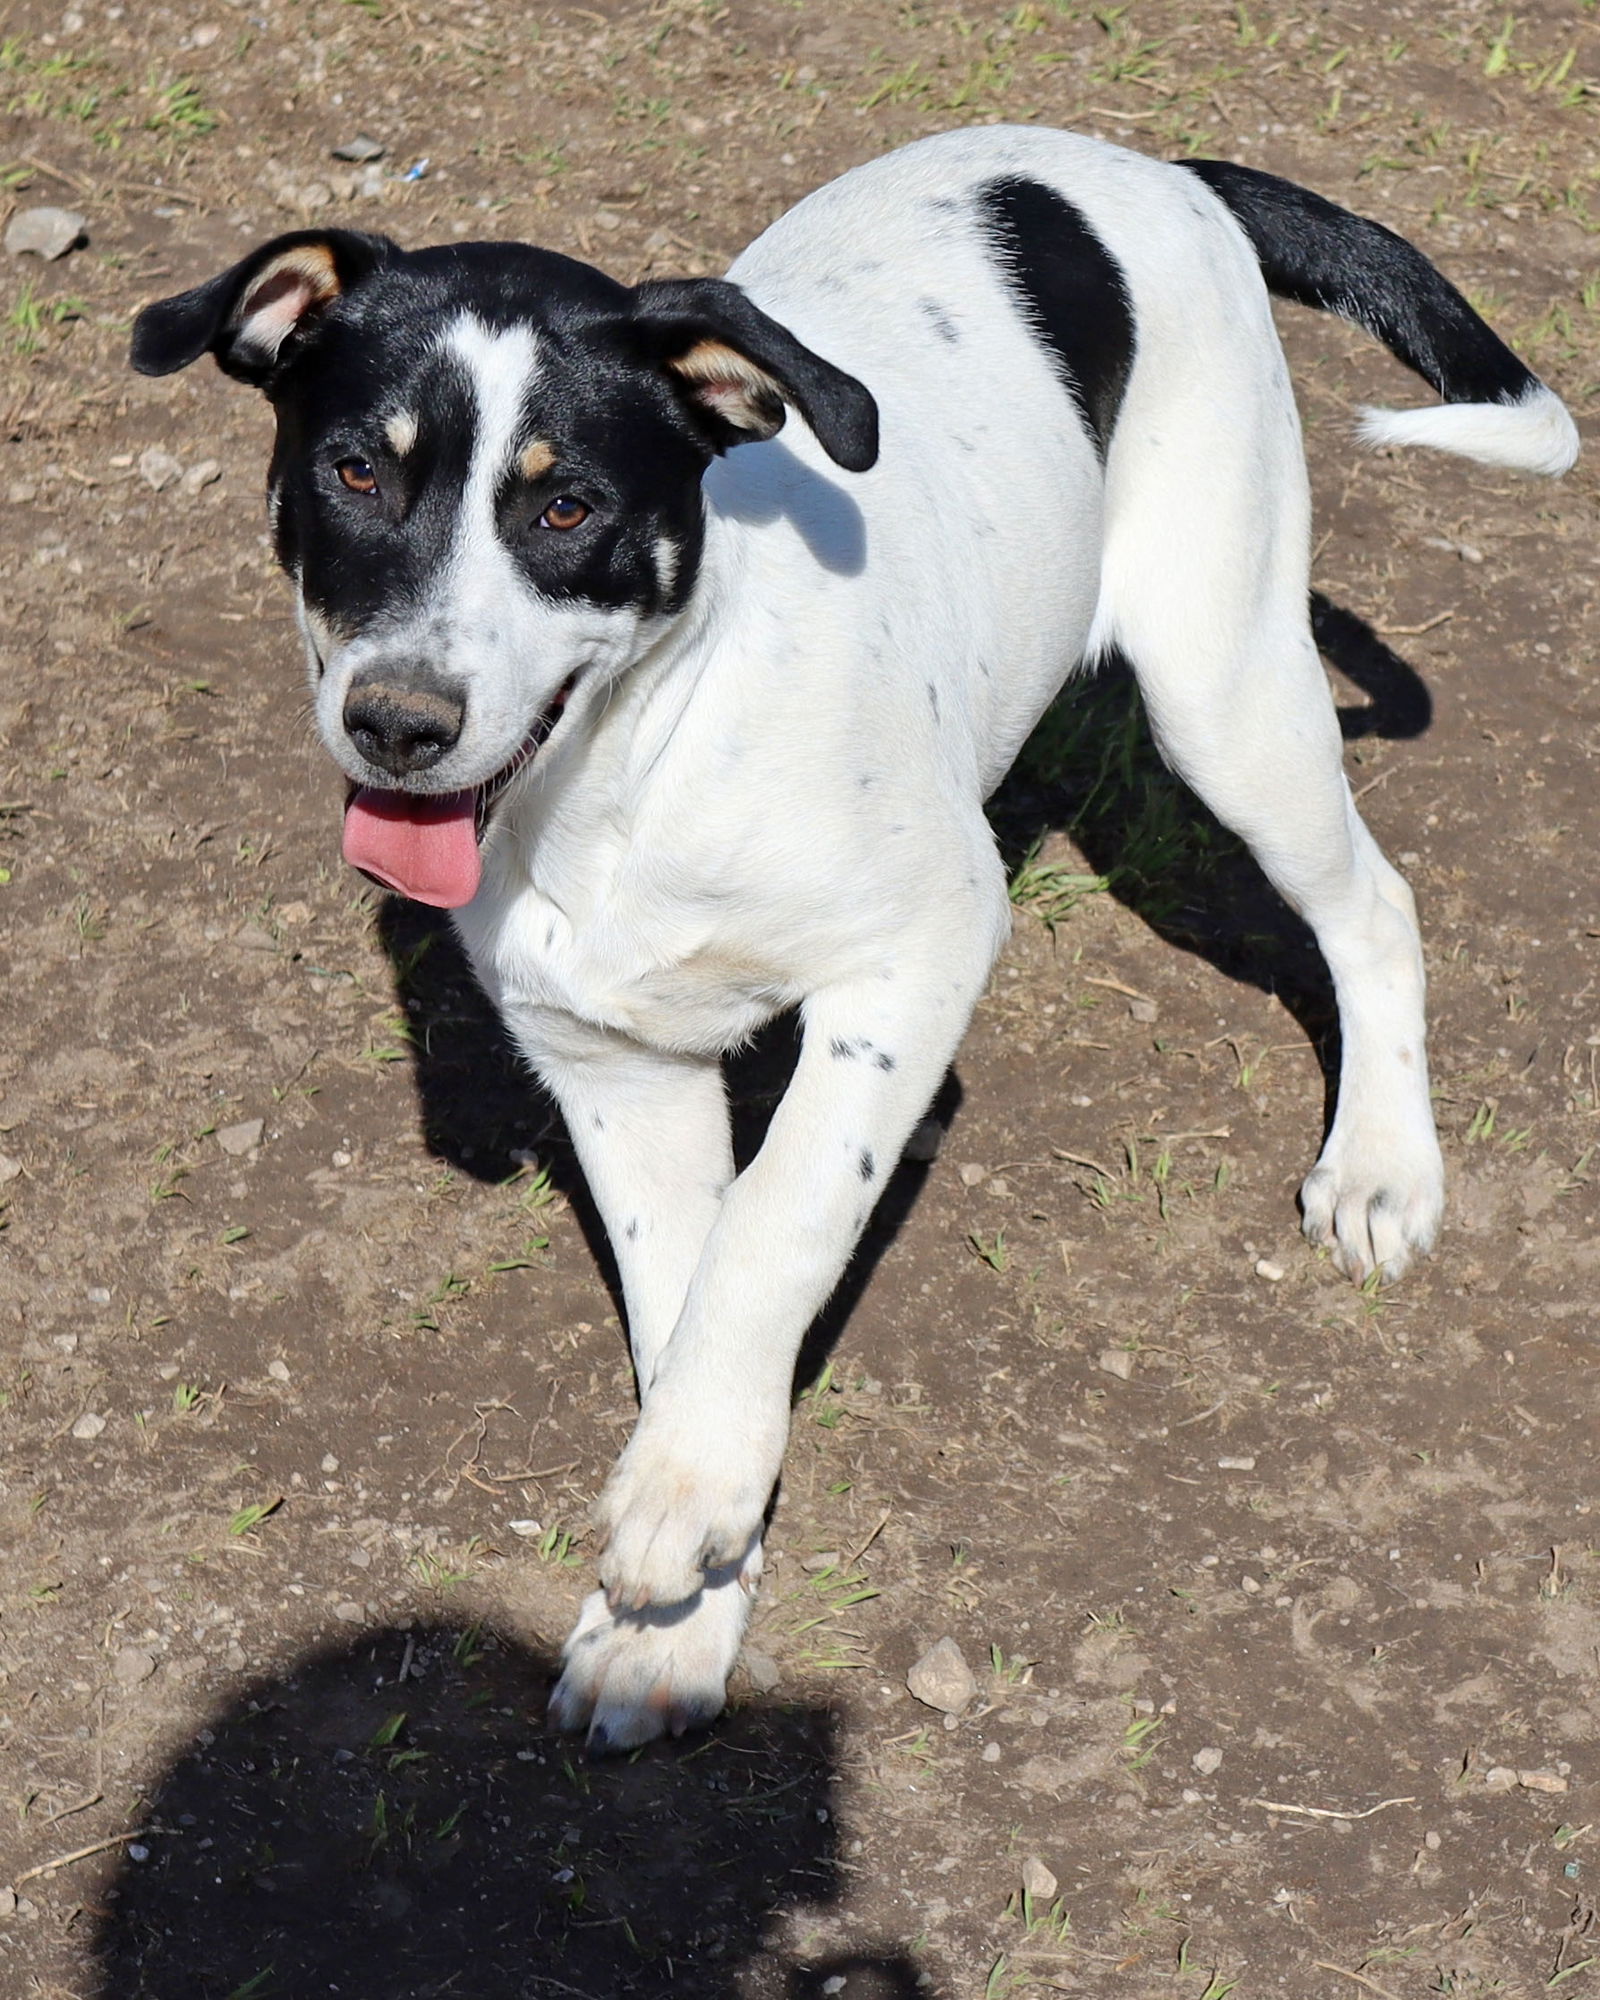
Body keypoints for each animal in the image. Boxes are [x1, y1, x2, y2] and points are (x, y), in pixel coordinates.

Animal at [134, 125, 1576, 1752]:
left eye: (567, 510)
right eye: (354, 469)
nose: (397, 721)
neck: (639, 766)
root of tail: (1142, 158)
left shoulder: (921, 953)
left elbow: (776, 1223)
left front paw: (685, 1485)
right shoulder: (612, 1068)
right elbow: (684, 1300)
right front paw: (679, 1604)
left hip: (1226, 689)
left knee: (1373, 906)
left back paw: (1384, 1165)